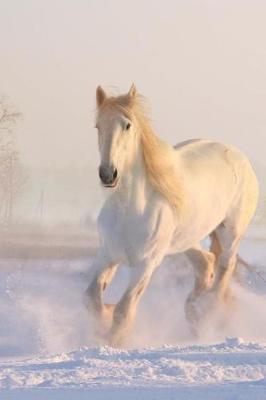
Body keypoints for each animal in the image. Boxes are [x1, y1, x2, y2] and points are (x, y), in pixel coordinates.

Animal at [84, 84, 258, 346]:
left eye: (127, 125)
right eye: (98, 126)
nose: (108, 174)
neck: (129, 209)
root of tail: (238, 156)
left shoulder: (145, 264)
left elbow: (124, 311)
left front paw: (112, 341)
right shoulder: (107, 254)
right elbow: (92, 298)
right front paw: (103, 322)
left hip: (231, 233)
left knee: (224, 269)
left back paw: (208, 314)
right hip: (185, 240)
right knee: (206, 262)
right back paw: (194, 312)